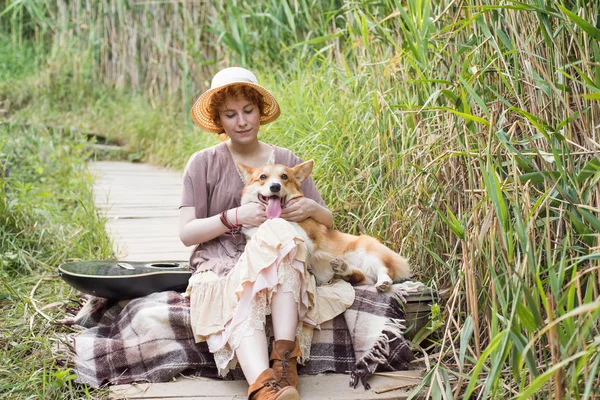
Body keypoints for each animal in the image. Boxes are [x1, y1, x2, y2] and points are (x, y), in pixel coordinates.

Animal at [237, 161, 410, 292]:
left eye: (284, 176)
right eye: (263, 177)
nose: (275, 187)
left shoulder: (306, 237)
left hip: (371, 252)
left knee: (385, 271)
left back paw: (383, 282)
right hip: (358, 273)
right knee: (359, 276)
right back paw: (344, 269)